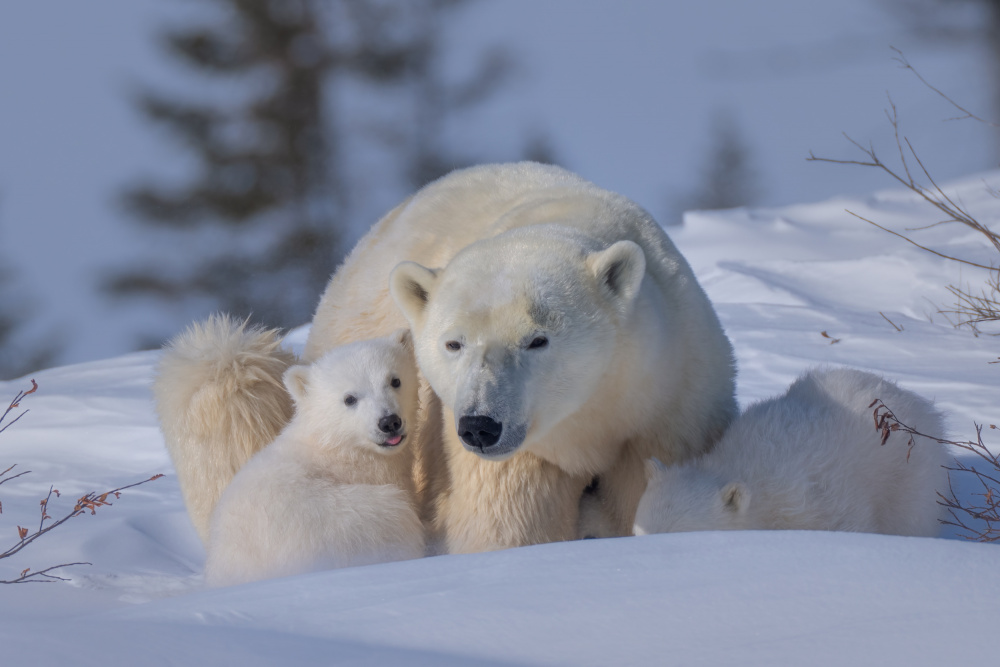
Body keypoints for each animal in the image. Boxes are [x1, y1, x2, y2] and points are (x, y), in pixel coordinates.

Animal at [300, 162, 740, 552]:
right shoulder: (501, 452)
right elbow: (508, 519)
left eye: (536, 340)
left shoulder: (670, 406)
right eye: (454, 343)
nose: (480, 426)